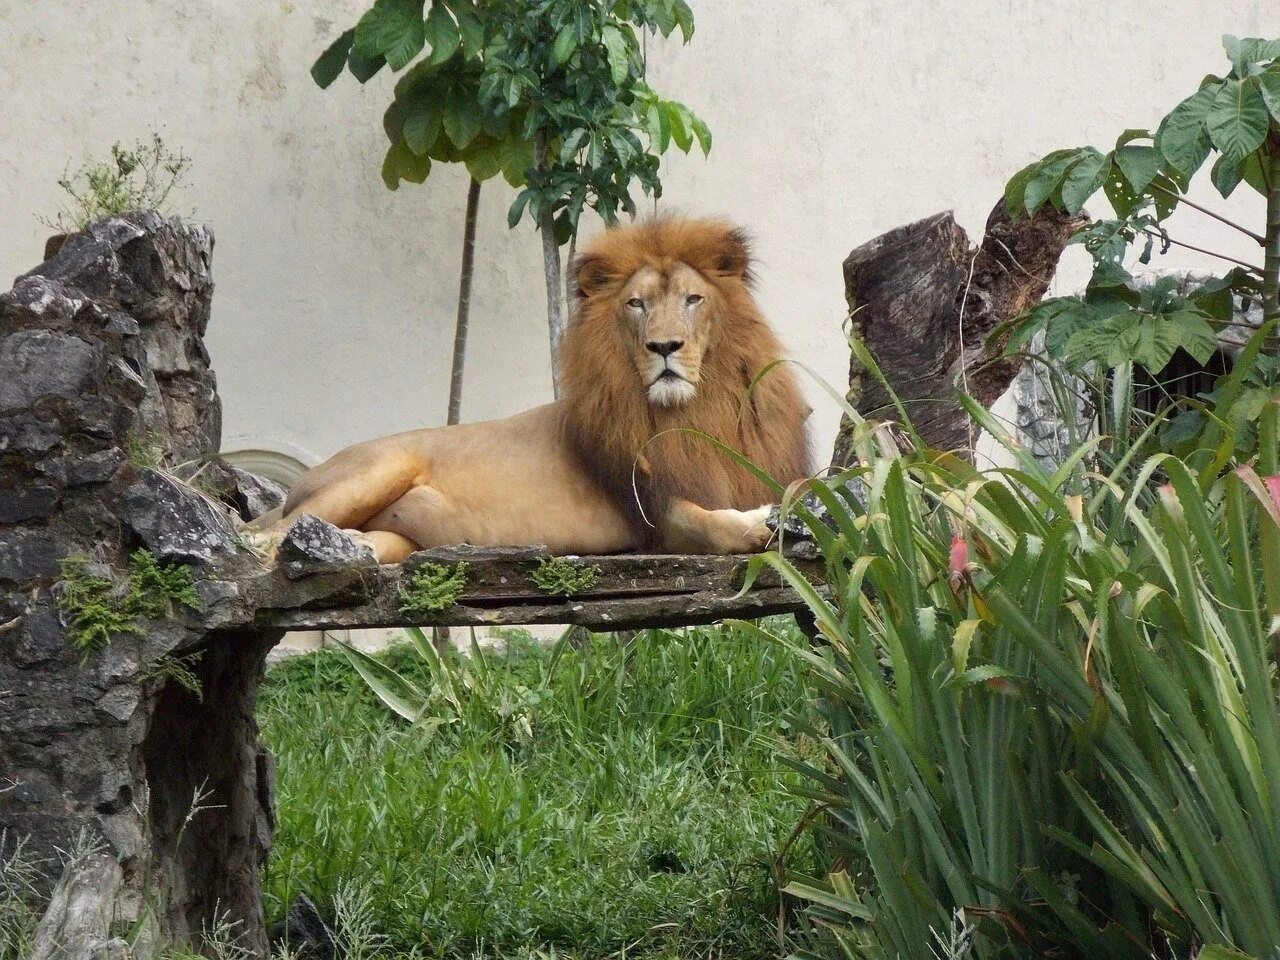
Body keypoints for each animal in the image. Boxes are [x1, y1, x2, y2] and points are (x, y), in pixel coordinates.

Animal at [262, 217, 808, 563]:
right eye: (637, 304)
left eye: (693, 299)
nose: (664, 346)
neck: (696, 411)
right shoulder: (653, 514)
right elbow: (712, 524)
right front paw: (763, 523)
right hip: (379, 467)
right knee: (268, 538)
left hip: (400, 535)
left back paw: (350, 548)